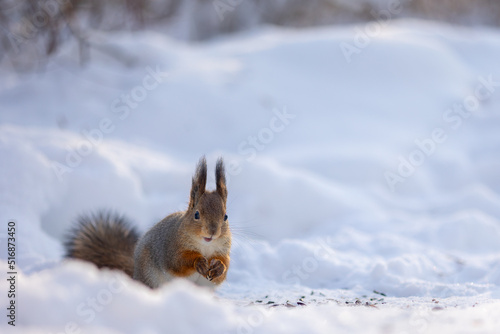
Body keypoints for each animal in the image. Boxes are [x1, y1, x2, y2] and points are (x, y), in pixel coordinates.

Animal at [63, 157, 232, 290]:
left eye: (225, 216)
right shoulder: (171, 248)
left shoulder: (223, 251)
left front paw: (219, 266)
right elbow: (178, 262)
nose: (212, 232)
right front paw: (199, 262)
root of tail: (135, 273)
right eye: (196, 214)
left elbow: (223, 270)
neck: (205, 246)